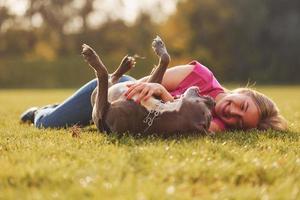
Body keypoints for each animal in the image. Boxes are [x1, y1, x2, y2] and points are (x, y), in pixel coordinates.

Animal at [81, 36, 214, 135]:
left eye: (209, 114)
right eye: (206, 103)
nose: (212, 101)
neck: (157, 112)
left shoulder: (100, 112)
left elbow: (102, 73)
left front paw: (91, 57)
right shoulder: (148, 86)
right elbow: (165, 60)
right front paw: (160, 46)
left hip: (95, 95)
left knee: (108, 80)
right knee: (114, 79)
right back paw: (126, 65)